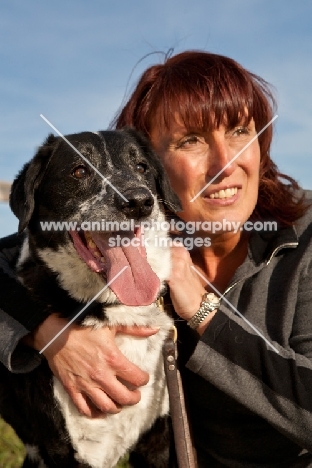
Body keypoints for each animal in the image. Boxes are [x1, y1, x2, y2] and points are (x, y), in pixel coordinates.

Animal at [0, 128, 180, 468]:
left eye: (142, 167)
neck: (113, 308)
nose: (139, 202)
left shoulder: (159, 442)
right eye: (79, 171)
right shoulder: (69, 450)